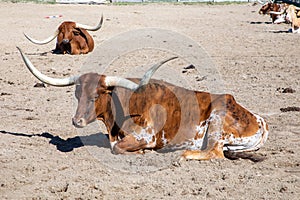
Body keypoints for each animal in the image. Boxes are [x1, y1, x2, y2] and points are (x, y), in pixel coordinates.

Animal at [17, 47, 268, 162]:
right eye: (78, 93)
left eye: (96, 95)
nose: (76, 121)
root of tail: (260, 121)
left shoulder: (146, 137)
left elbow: (117, 148)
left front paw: (140, 152)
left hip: (216, 121)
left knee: (214, 152)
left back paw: (184, 154)